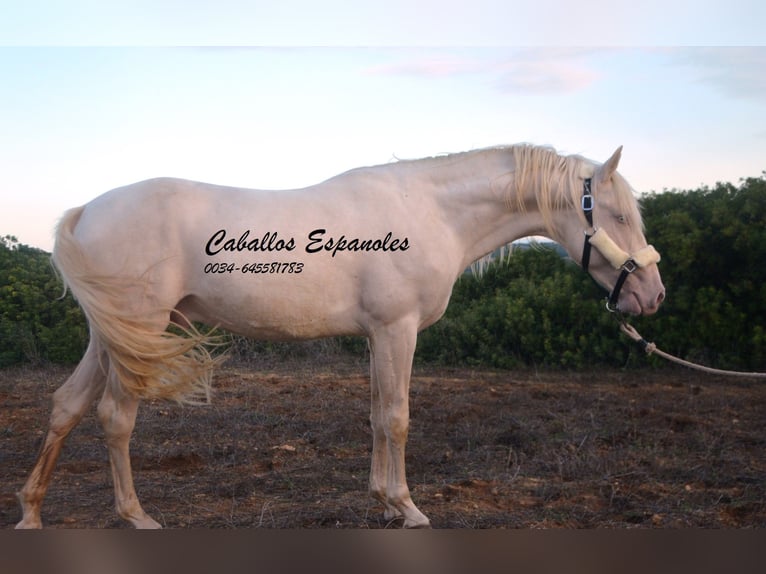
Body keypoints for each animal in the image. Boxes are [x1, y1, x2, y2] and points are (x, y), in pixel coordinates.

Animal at [16, 145, 664, 532]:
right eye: (617, 215)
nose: (652, 295)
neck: (432, 211)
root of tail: (87, 212)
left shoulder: (379, 335)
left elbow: (377, 415)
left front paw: (383, 498)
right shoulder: (397, 329)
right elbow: (397, 418)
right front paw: (408, 507)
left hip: (113, 337)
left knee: (68, 405)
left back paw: (31, 513)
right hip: (141, 329)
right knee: (115, 416)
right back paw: (136, 516)